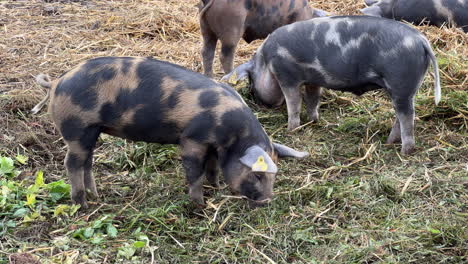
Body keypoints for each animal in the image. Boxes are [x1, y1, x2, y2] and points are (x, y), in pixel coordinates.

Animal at [31, 56, 308, 209]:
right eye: (258, 175)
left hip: (91, 132)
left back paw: (96, 195)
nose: (267, 201)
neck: (231, 135)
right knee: (71, 163)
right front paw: (199, 204)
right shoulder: (192, 139)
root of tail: (57, 82)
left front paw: (215, 187)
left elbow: (212, 167)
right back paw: (83, 205)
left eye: (274, 176)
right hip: (77, 129)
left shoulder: (212, 145)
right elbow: (194, 172)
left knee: (86, 162)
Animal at [198, 0, 330, 77]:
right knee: (225, 56)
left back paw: (209, 77)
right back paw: (230, 74)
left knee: (206, 52)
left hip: (205, 28)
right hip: (231, 29)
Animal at [223, 16, 442, 155]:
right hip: (403, 89)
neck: (267, 61)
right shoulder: (313, 79)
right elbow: (313, 99)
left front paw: (291, 129)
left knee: (407, 117)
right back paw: (389, 143)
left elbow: (293, 103)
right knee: (401, 115)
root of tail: (420, 40)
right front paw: (313, 121)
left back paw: (405, 152)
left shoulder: (287, 75)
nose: (257, 100)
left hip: (400, 82)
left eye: (251, 79)